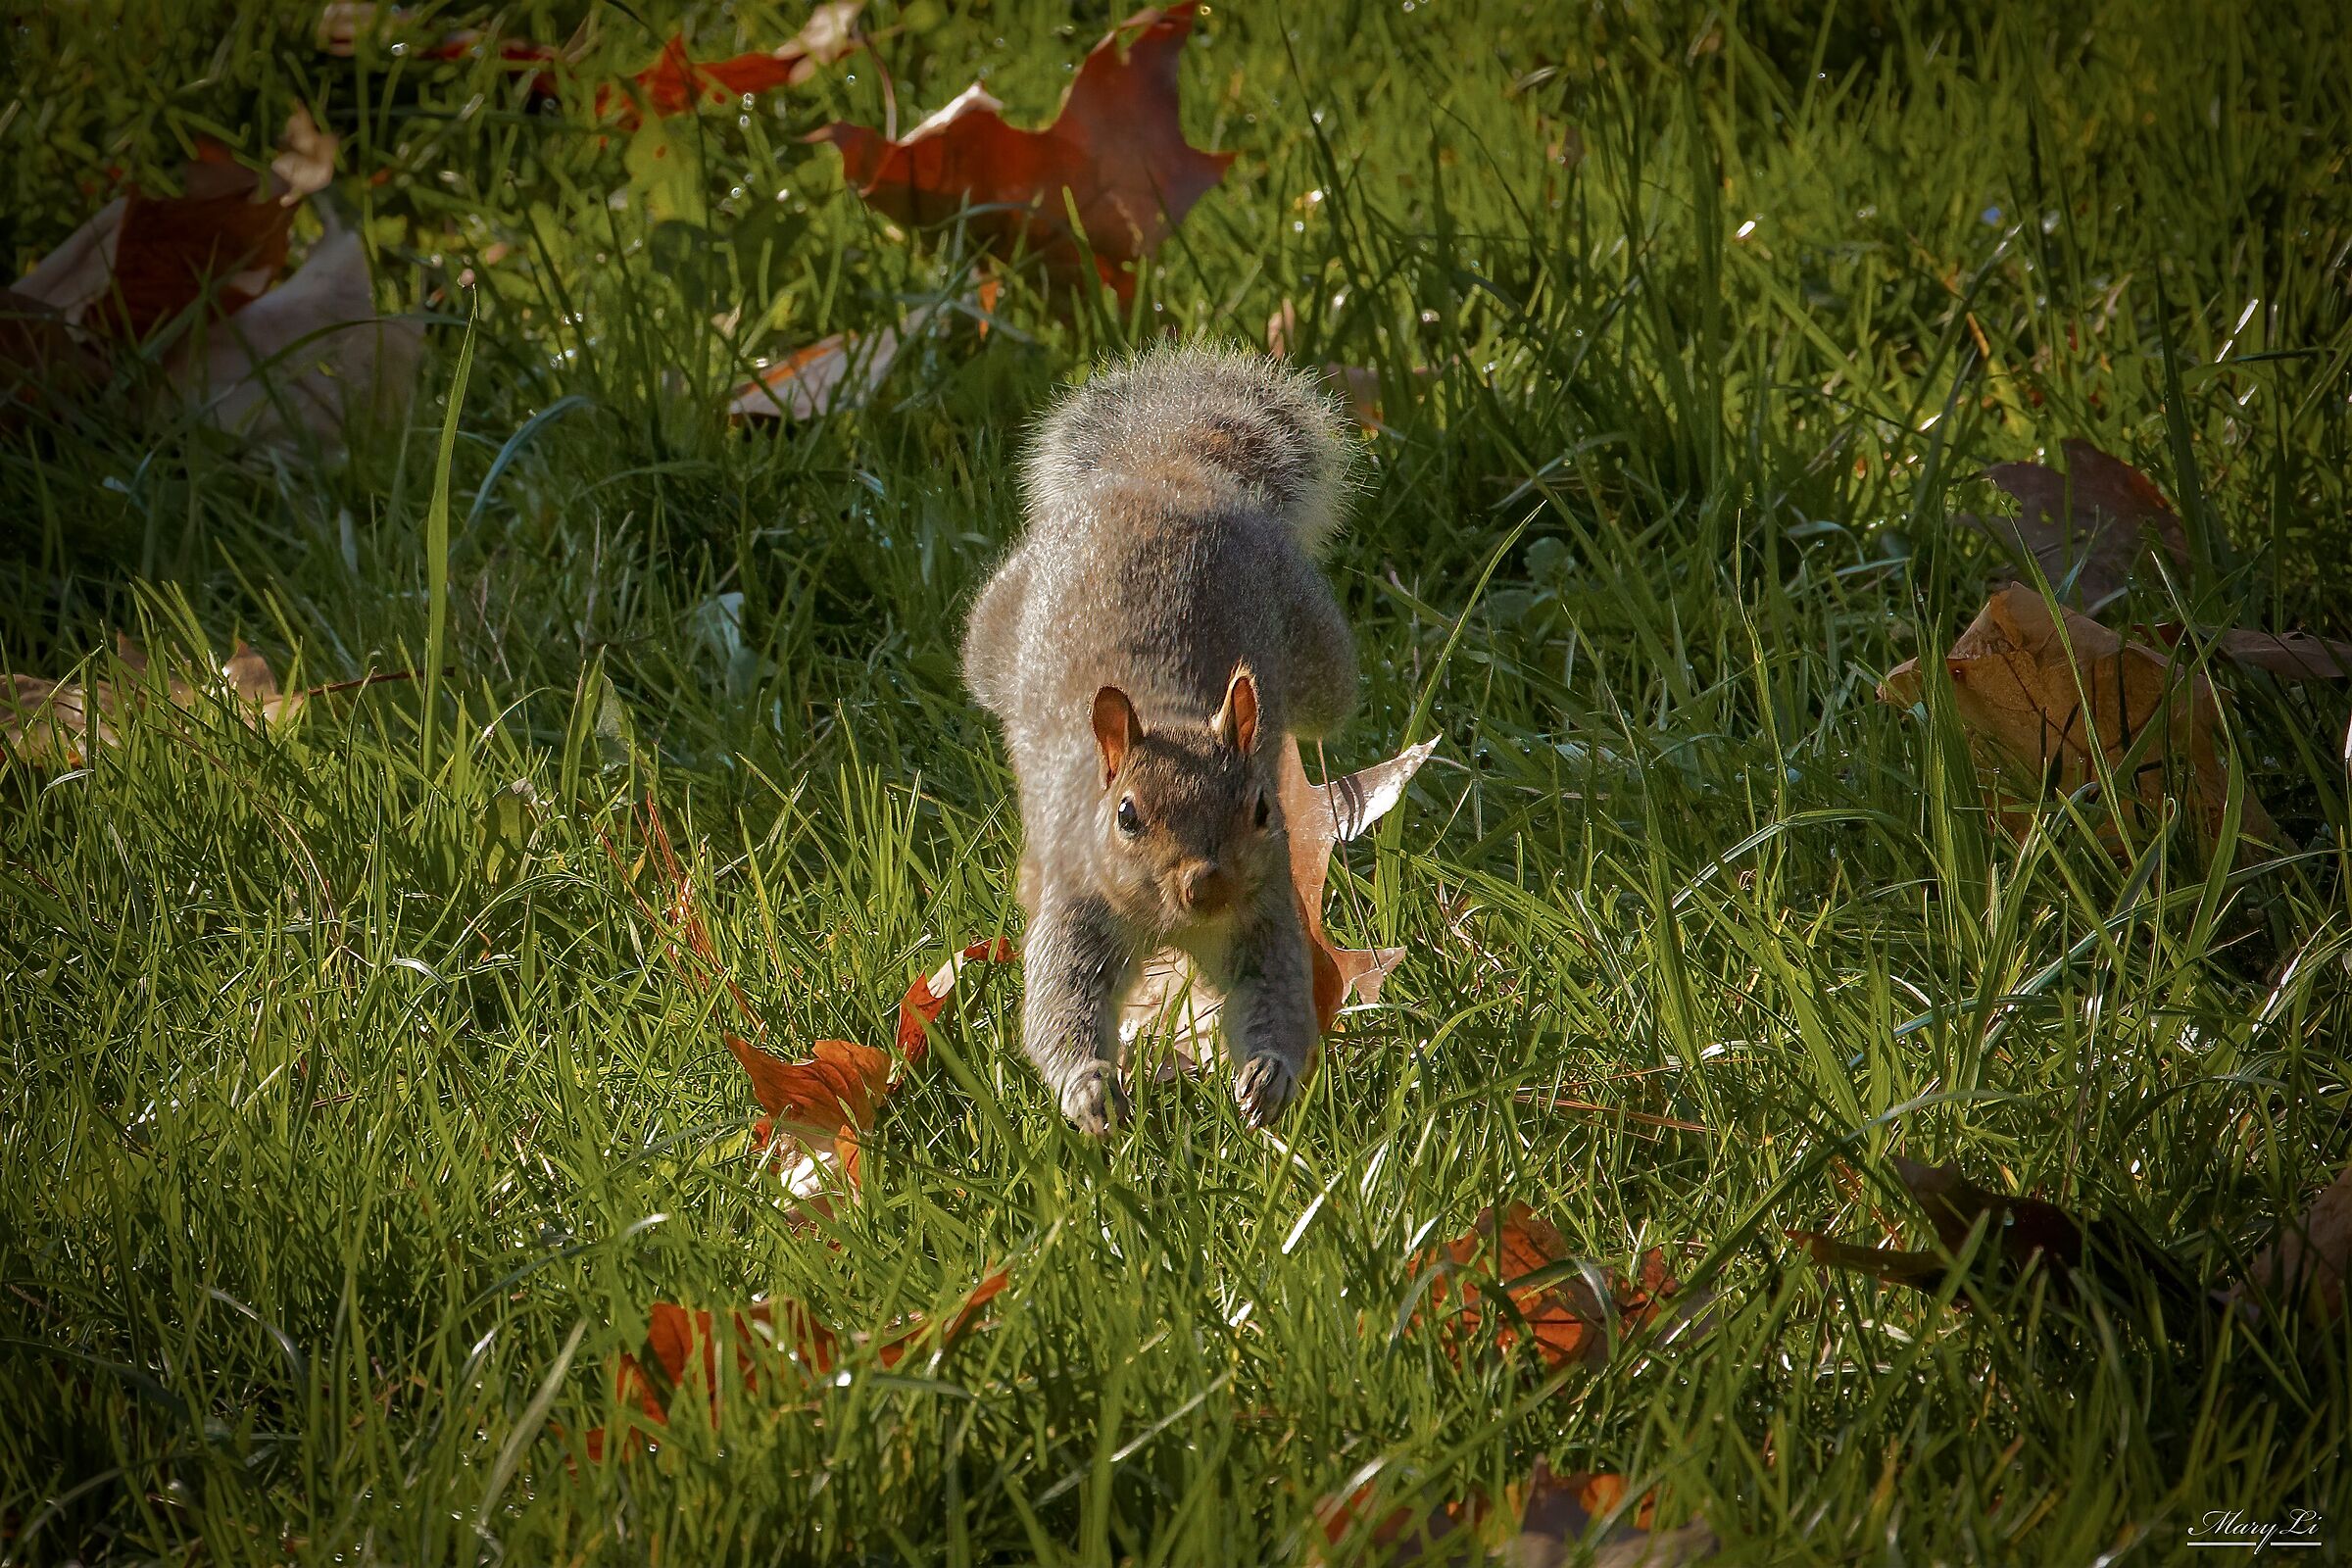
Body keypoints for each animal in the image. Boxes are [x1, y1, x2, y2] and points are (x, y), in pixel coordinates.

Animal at [964, 345, 1358, 1133]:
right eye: (1126, 815)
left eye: (1262, 810)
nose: (1206, 884)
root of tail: (1167, 468)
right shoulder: (1078, 902)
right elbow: (1060, 1007)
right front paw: (1088, 1089)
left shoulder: (1266, 912)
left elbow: (1278, 1001)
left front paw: (1268, 1078)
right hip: (992, 638)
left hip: (1319, 658)